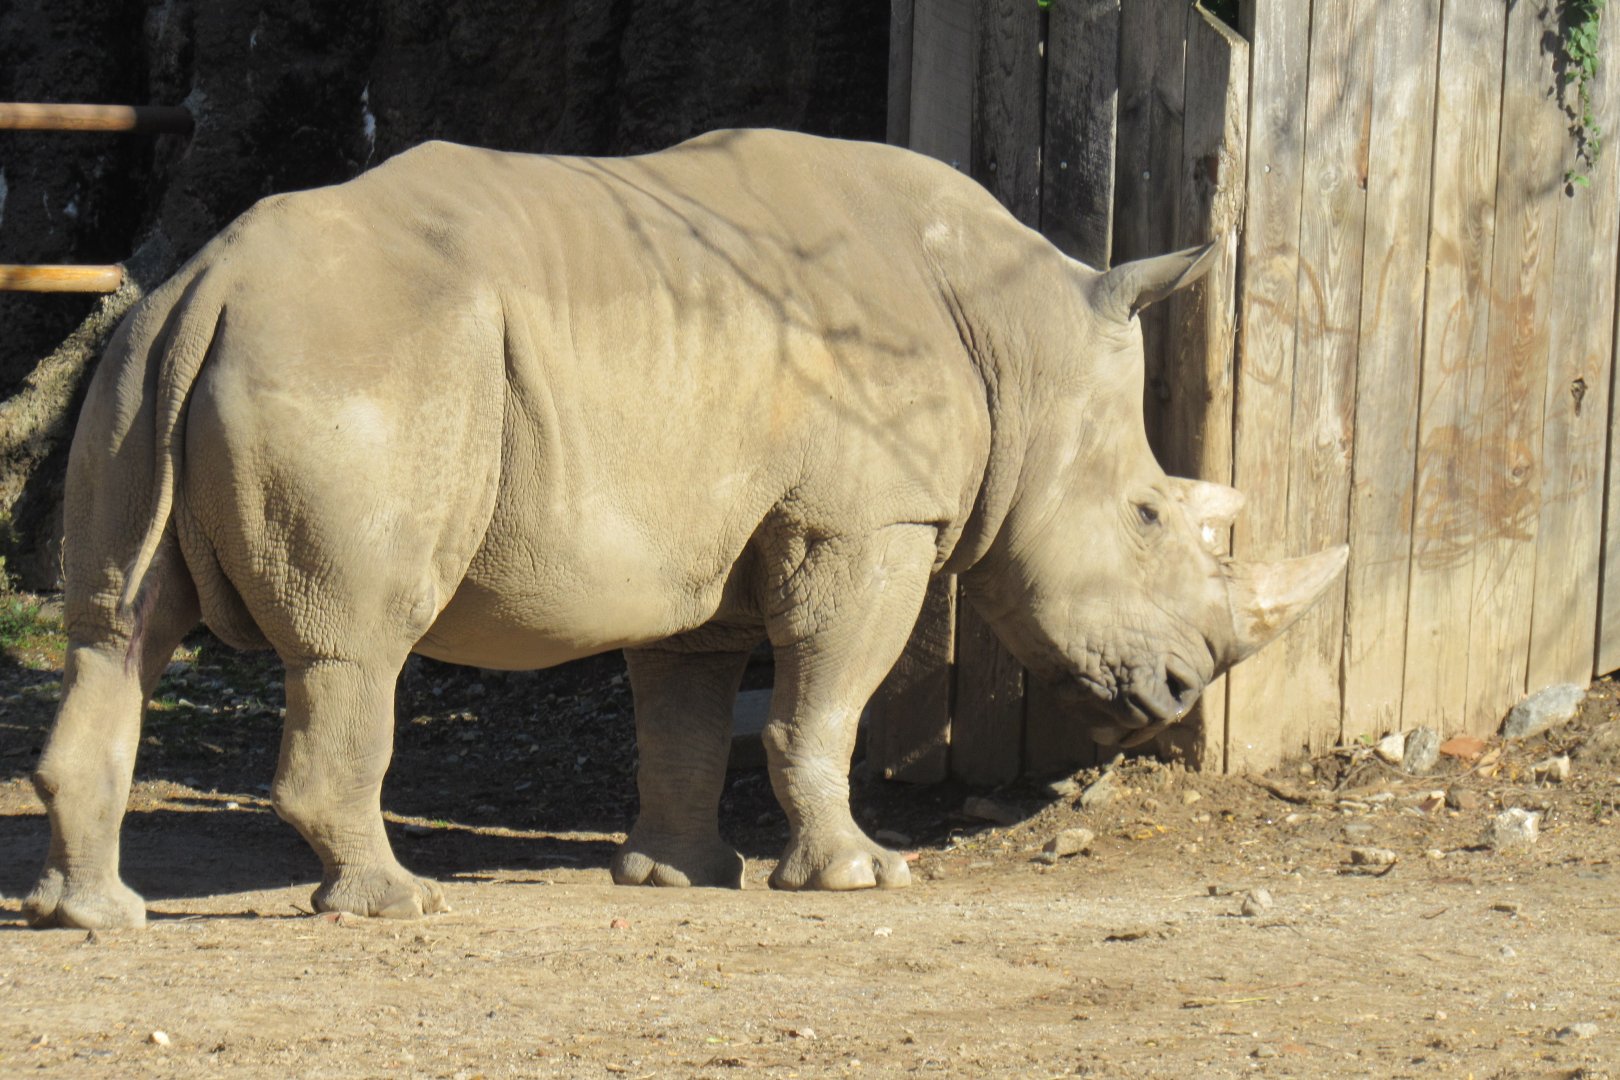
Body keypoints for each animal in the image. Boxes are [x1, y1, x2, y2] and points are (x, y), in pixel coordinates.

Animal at [25, 129, 1345, 929]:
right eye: (1147, 515)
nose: (1178, 693)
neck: (1020, 342)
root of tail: (212, 280)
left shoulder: (695, 535)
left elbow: (687, 709)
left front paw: (679, 875)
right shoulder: (868, 516)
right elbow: (825, 702)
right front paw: (859, 876)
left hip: (141, 366)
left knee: (117, 631)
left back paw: (94, 917)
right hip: (358, 362)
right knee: (356, 644)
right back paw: (397, 902)